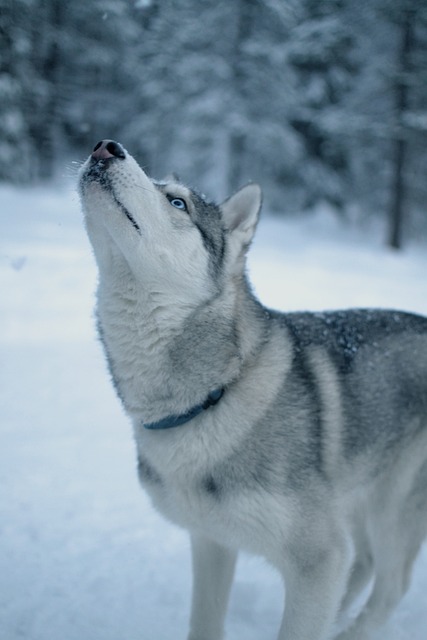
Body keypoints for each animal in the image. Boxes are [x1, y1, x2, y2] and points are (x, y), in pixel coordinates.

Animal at [79, 141, 427, 640]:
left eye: (177, 202)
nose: (106, 147)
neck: (212, 394)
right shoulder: (212, 542)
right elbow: (204, 623)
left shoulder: (318, 558)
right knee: (363, 564)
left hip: (392, 511)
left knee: (390, 588)